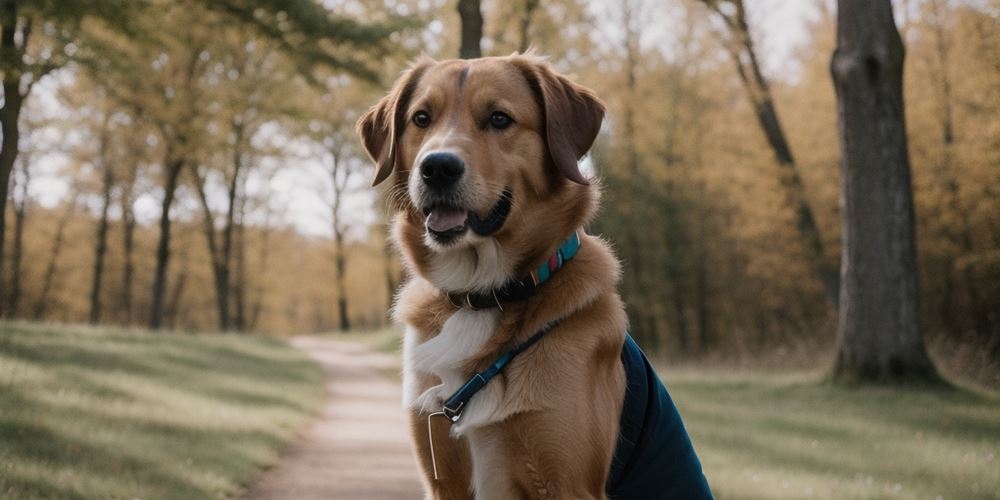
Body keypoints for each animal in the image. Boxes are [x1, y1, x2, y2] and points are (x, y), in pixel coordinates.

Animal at [358, 52, 712, 498]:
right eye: (421, 118)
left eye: (499, 118)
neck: (482, 293)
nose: (437, 168)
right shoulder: (442, 479)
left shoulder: (569, 484)